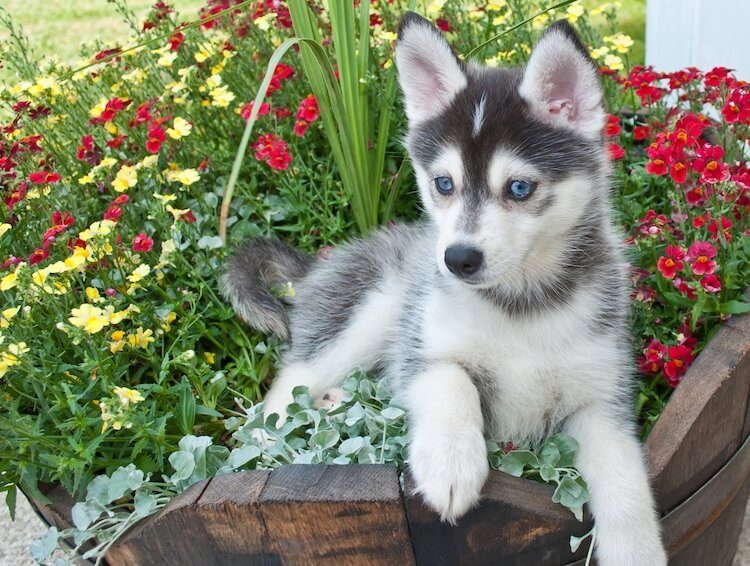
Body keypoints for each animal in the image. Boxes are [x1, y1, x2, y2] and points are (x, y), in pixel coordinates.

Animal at [222, 14, 664, 566]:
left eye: (520, 188)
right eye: (443, 183)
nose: (457, 259)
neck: (520, 306)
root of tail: (320, 263)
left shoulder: (601, 398)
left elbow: (626, 481)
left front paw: (637, 549)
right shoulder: (421, 348)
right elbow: (451, 381)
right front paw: (451, 464)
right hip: (375, 306)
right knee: (289, 383)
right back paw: (266, 440)